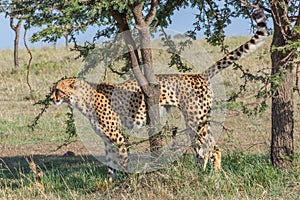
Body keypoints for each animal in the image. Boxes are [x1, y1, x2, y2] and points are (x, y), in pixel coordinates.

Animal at [50, 9, 268, 181]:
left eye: (58, 90)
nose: (51, 98)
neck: (81, 101)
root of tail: (197, 74)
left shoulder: (119, 137)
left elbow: (123, 161)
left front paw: (125, 182)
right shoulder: (107, 140)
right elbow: (111, 165)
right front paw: (110, 183)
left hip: (196, 119)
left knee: (213, 148)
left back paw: (213, 176)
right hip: (194, 122)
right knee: (202, 150)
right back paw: (201, 174)